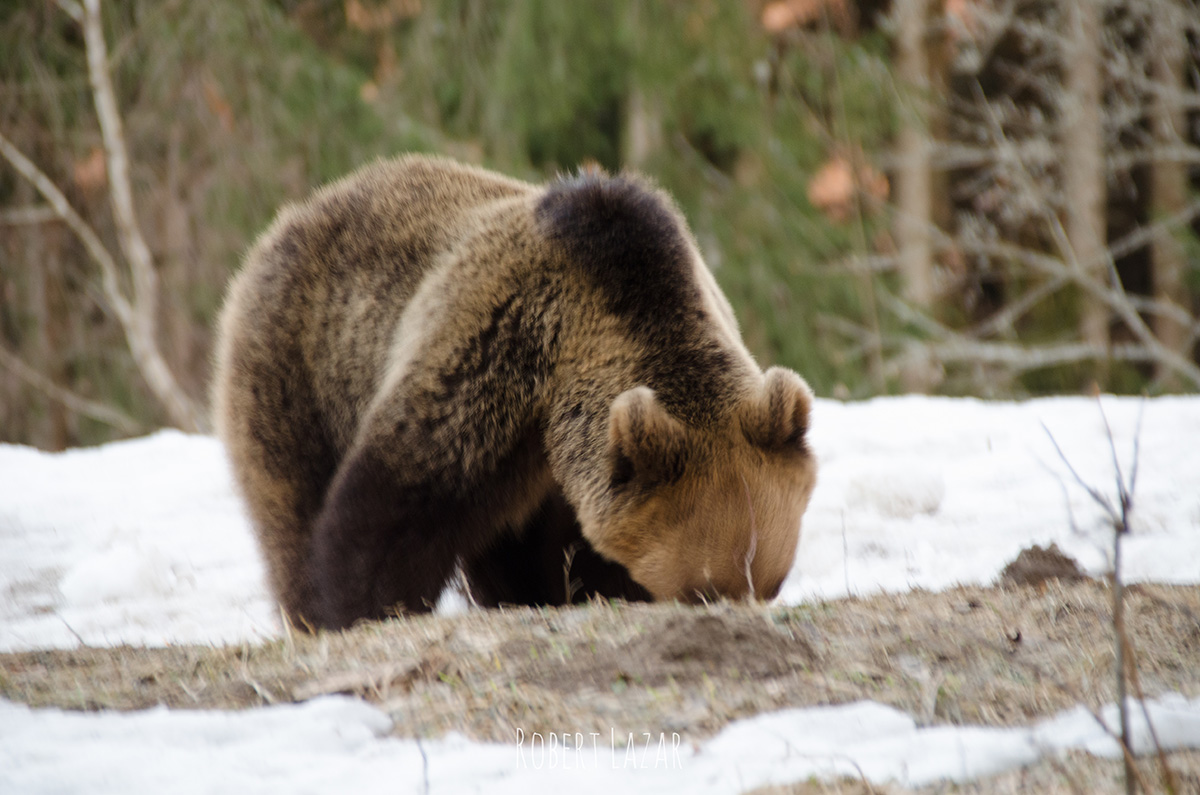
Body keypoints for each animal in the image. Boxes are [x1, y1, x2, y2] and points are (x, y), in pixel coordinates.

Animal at [211, 153, 820, 629]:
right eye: (702, 588)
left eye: (773, 581)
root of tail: (298, 213)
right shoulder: (494, 363)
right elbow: (394, 507)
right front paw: (363, 608)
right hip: (302, 361)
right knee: (291, 503)